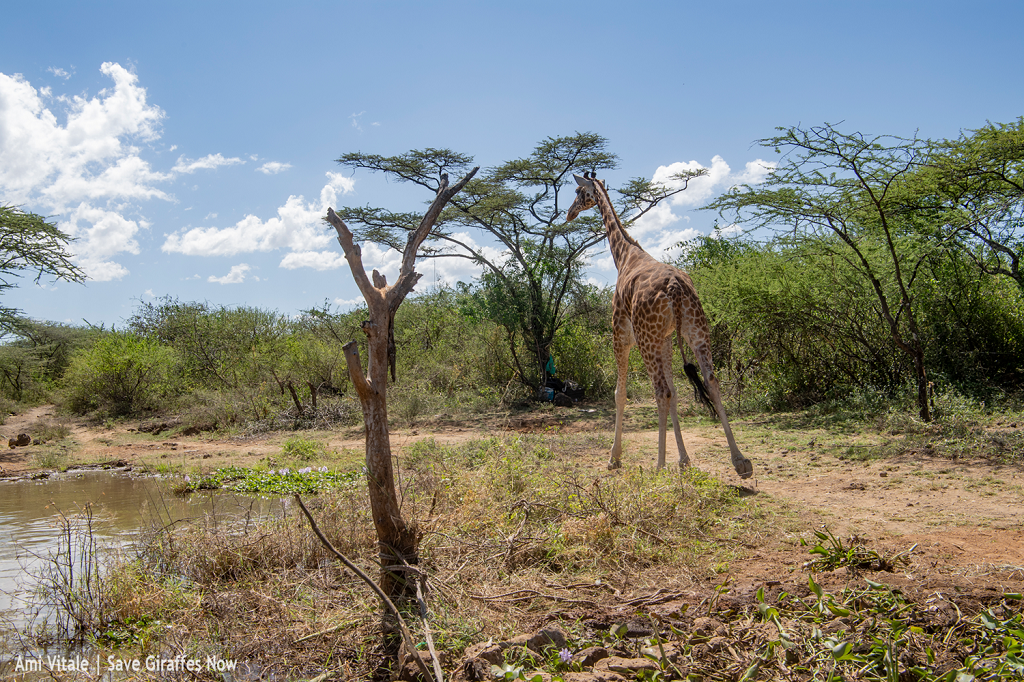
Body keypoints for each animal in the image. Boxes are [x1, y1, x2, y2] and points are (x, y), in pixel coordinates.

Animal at [569, 173, 753, 475]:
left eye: (577, 191)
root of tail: (675, 288)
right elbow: (677, 392)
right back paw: (740, 461)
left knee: (660, 391)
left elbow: (621, 393)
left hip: (646, 340)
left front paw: (615, 458)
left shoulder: (620, 335)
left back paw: (658, 465)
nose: (569, 213)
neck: (624, 255)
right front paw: (684, 459)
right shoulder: (666, 339)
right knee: (710, 381)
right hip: (697, 333)